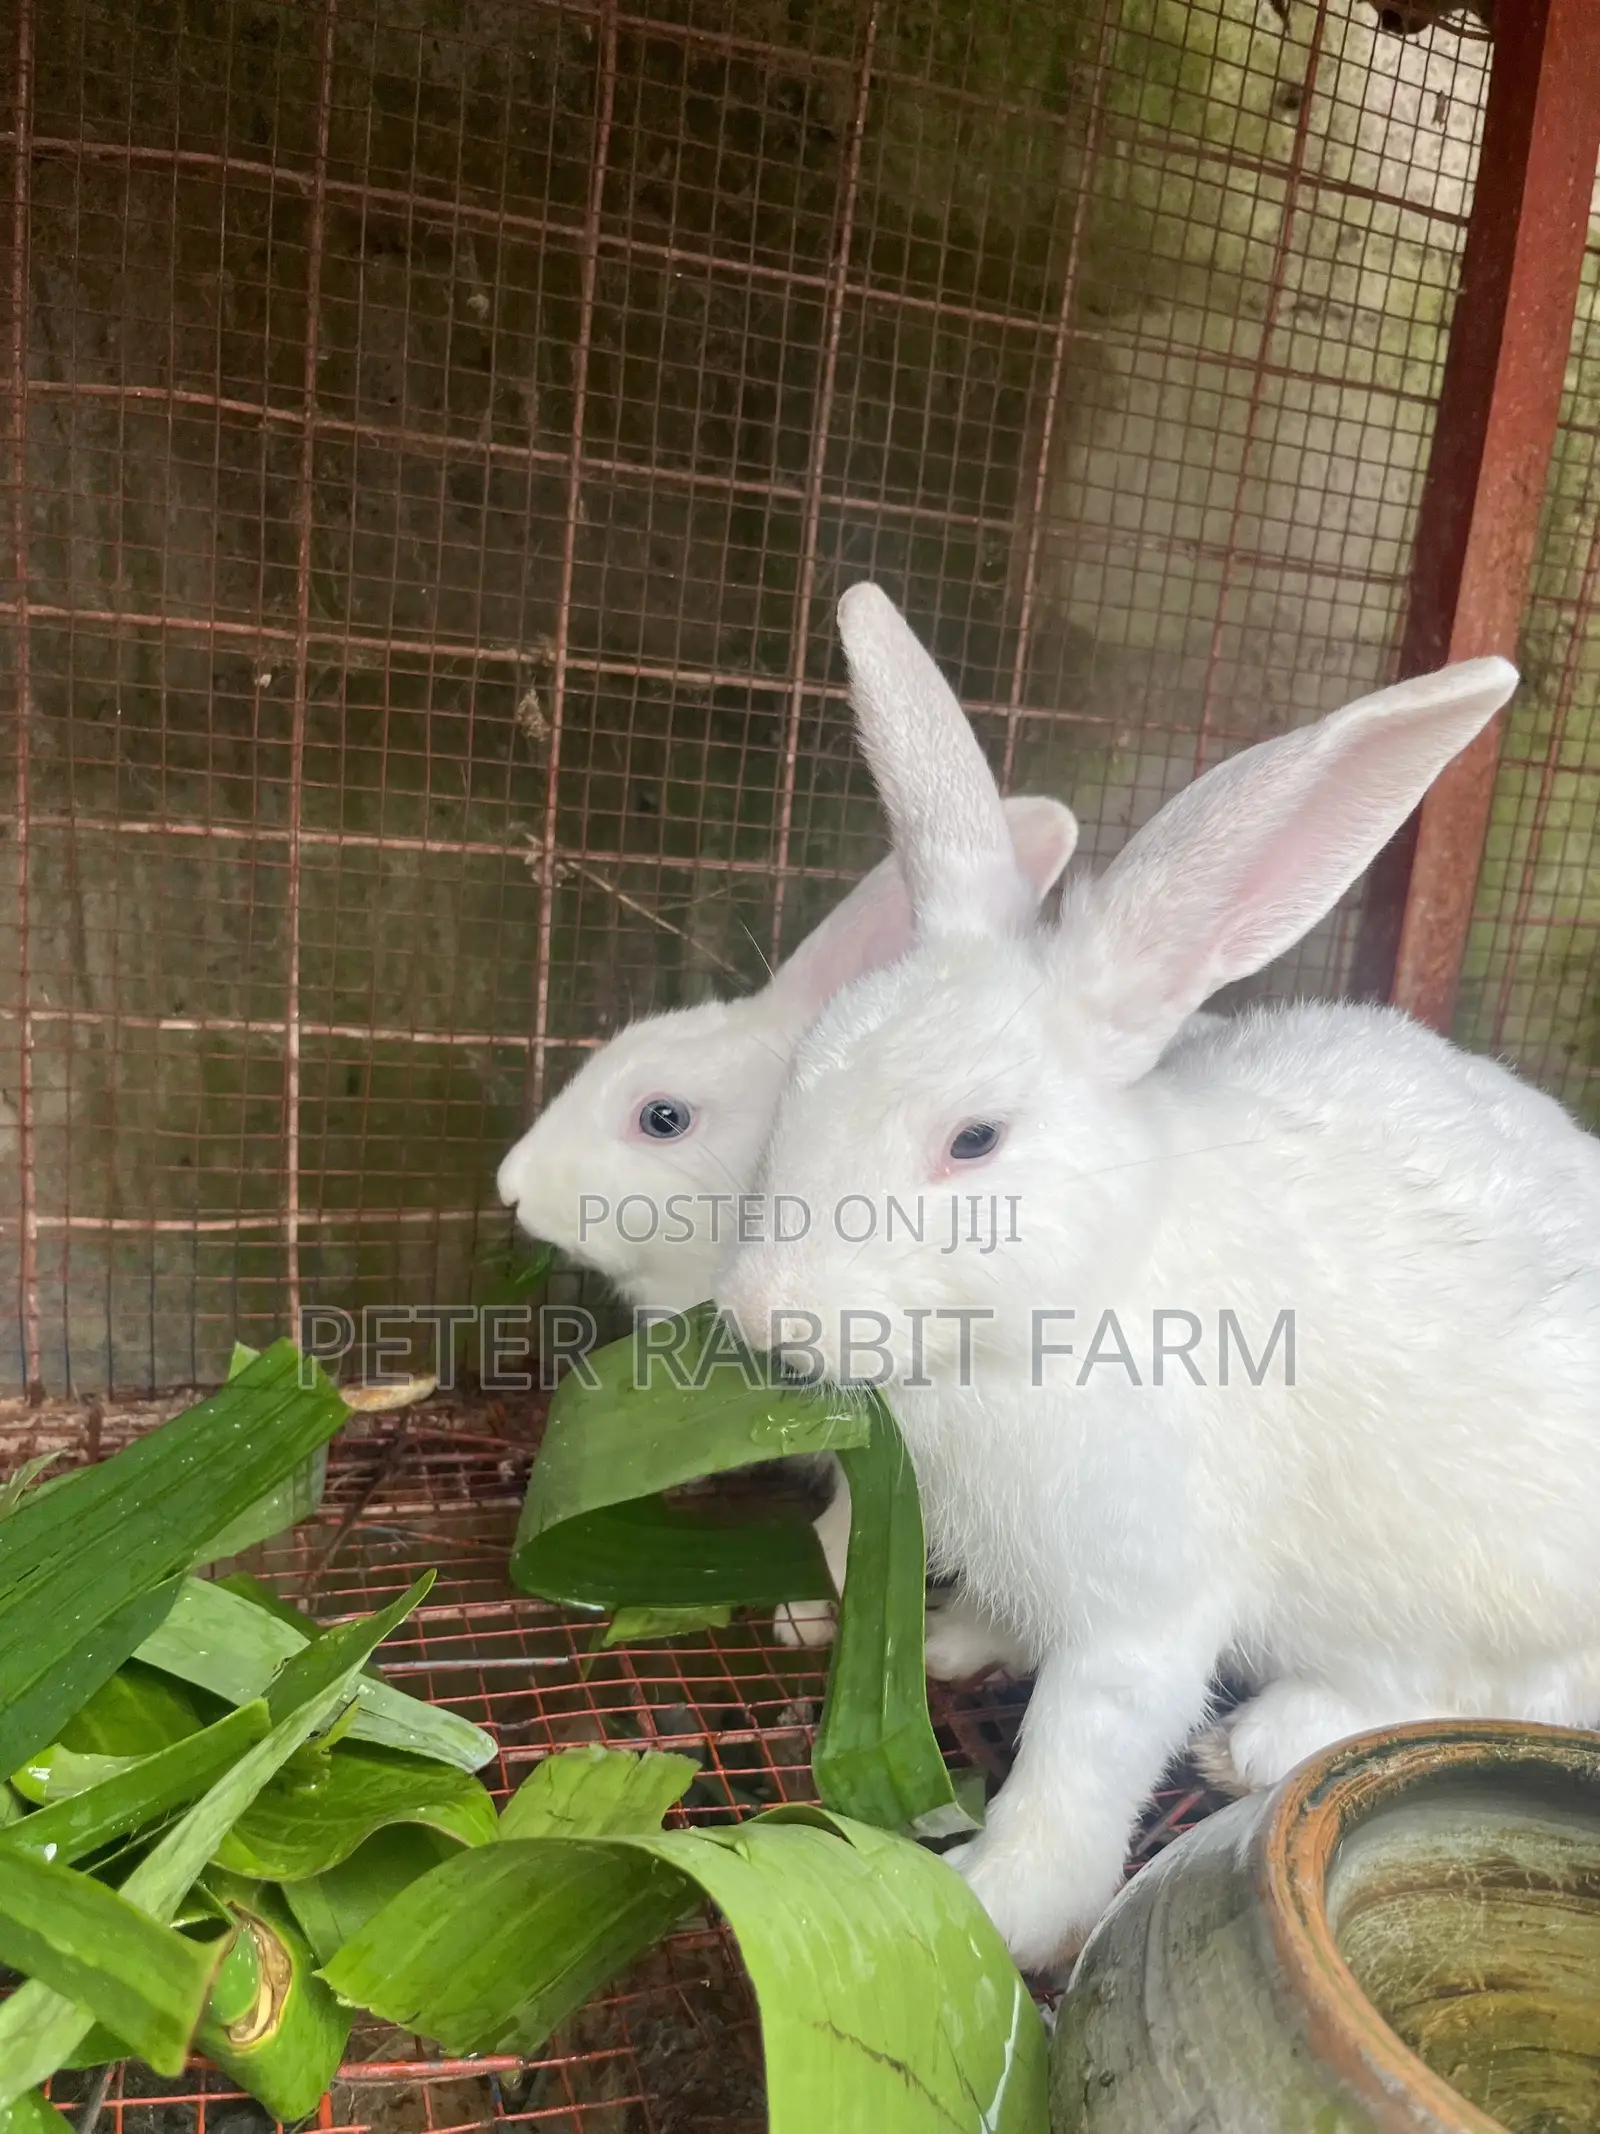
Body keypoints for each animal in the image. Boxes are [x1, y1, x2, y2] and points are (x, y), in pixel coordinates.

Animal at [716, 582, 1600, 1974]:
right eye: (800, 1079)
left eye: (975, 1140)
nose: (759, 1308)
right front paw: (955, 1636)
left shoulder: (1140, 1608)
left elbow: (1079, 1765)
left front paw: (992, 1903)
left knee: (1499, 1690)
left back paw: (1265, 1737)